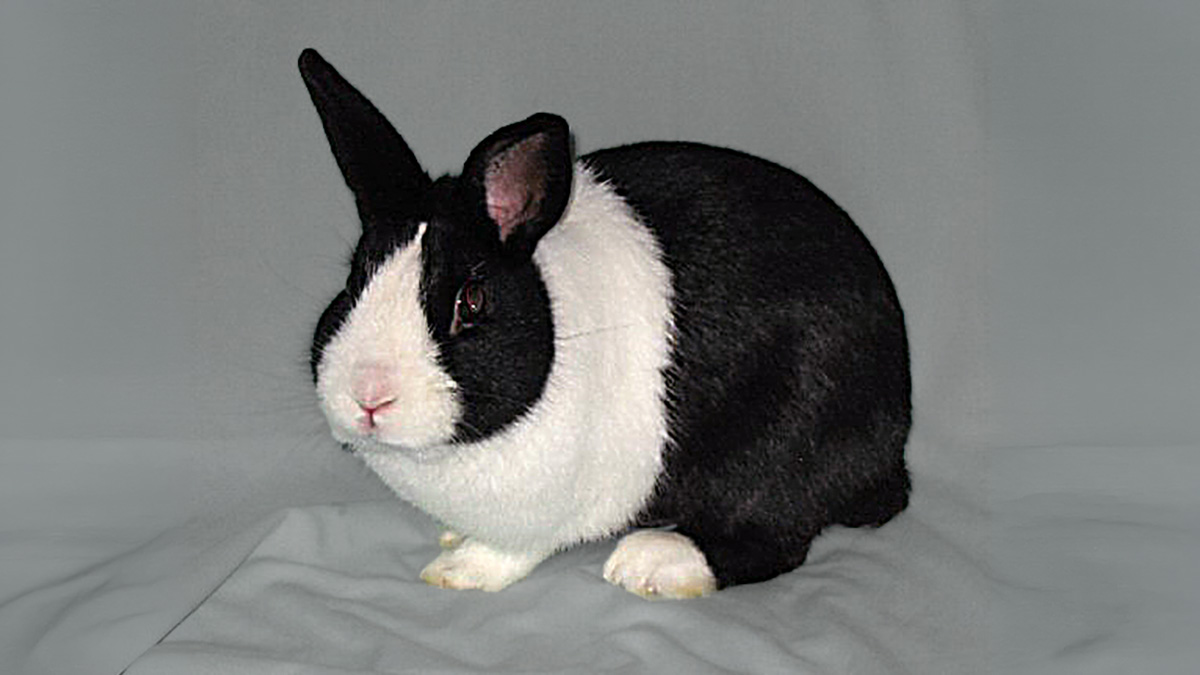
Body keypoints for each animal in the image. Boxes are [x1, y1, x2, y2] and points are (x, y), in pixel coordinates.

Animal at [299, 49, 911, 599]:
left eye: (470, 301)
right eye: (354, 280)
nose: (369, 396)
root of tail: (892, 441)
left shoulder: (542, 511)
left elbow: (510, 550)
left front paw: (458, 571)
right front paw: (452, 537)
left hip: (789, 441)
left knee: (774, 536)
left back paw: (652, 564)